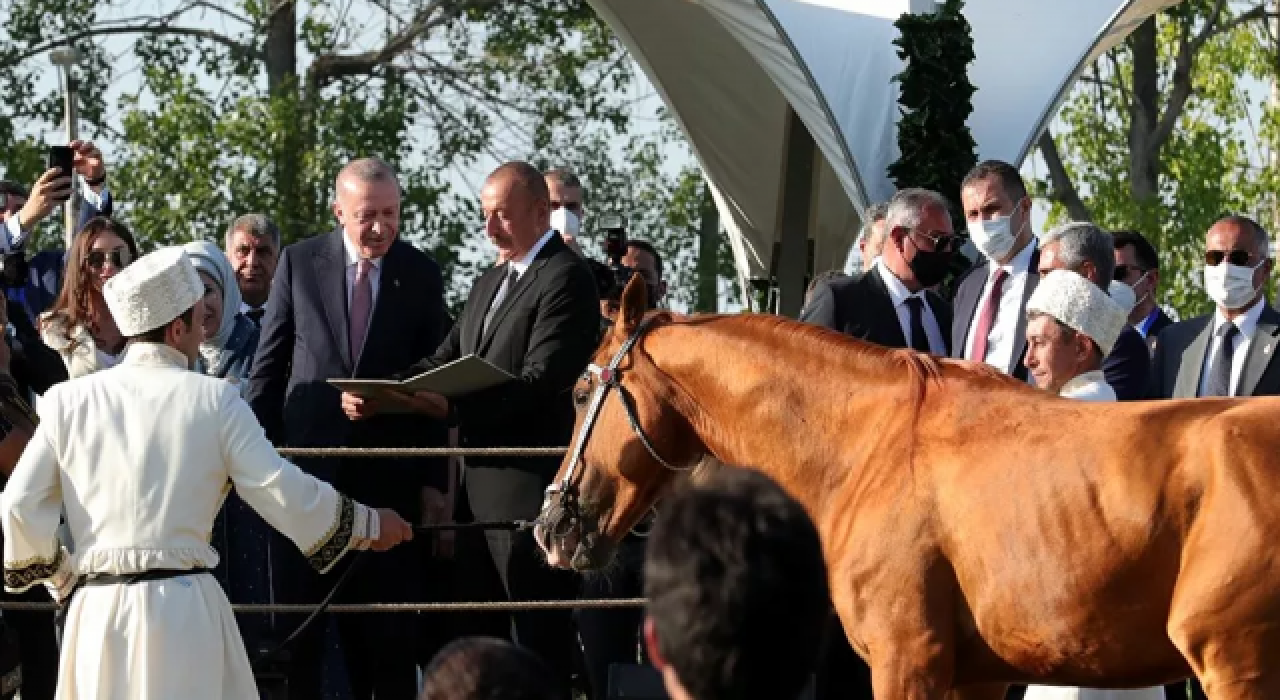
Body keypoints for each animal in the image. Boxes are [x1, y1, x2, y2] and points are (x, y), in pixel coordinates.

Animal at [535, 276, 1280, 696]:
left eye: (580, 393)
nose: (552, 527)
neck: (872, 444)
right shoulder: (980, 676)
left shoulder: (906, 659)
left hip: (1236, 663)